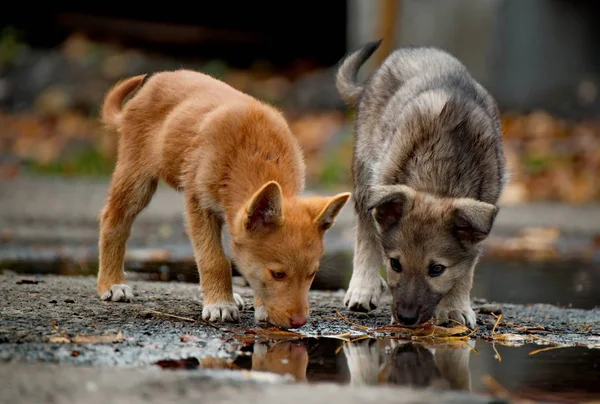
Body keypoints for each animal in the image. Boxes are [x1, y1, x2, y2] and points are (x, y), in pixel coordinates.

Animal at [96, 70, 350, 328]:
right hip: (136, 180)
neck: (257, 154)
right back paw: (111, 284)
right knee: (113, 223)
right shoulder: (198, 205)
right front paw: (220, 304)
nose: (299, 322)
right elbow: (214, 260)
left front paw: (259, 306)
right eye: (278, 274)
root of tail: (153, 83)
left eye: (311, 274)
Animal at [338, 40, 506, 328]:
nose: (405, 319)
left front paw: (454, 306)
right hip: (364, 171)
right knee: (366, 233)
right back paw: (363, 288)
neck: (439, 179)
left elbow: (465, 270)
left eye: (436, 269)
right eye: (395, 264)